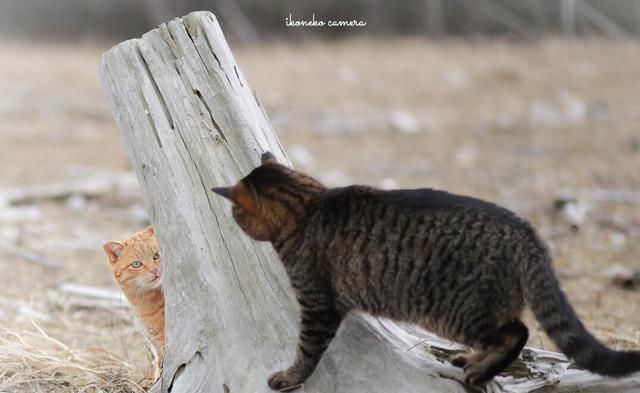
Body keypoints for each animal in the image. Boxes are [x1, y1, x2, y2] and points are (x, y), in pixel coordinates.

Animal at [211, 152, 640, 388]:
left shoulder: (318, 305)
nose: (231, 217)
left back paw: (479, 371)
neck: (308, 205)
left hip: (459, 312)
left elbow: (306, 350)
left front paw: (290, 376)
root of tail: (524, 229)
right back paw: (472, 360)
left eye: (235, 213)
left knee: (517, 332)